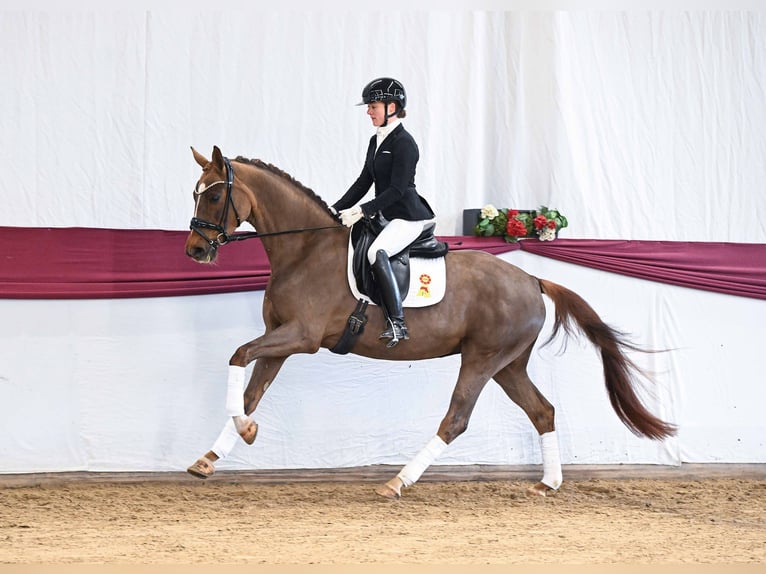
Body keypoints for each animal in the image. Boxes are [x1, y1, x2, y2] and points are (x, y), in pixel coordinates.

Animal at [183, 145, 676, 498]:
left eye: (214, 194)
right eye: (196, 192)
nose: (195, 250)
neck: (305, 250)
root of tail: (532, 280)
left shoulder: (299, 337)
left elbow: (237, 356)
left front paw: (240, 434)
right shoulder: (280, 340)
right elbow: (250, 393)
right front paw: (214, 454)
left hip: (482, 359)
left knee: (456, 419)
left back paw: (398, 481)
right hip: (508, 365)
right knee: (542, 411)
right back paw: (548, 483)